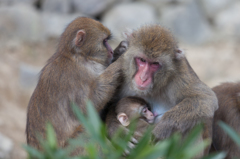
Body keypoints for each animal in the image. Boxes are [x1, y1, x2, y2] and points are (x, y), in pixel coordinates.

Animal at [25, 16, 124, 151]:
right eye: (104, 41)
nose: (111, 51)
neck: (79, 56)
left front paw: (120, 50)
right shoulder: (76, 76)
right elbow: (87, 107)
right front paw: (119, 63)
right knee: (86, 131)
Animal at [103, 25, 219, 157]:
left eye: (155, 64)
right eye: (142, 60)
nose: (143, 78)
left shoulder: (180, 73)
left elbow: (205, 98)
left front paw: (162, 129)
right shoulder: (121, 68)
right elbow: (111, 105)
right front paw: (117, 133)